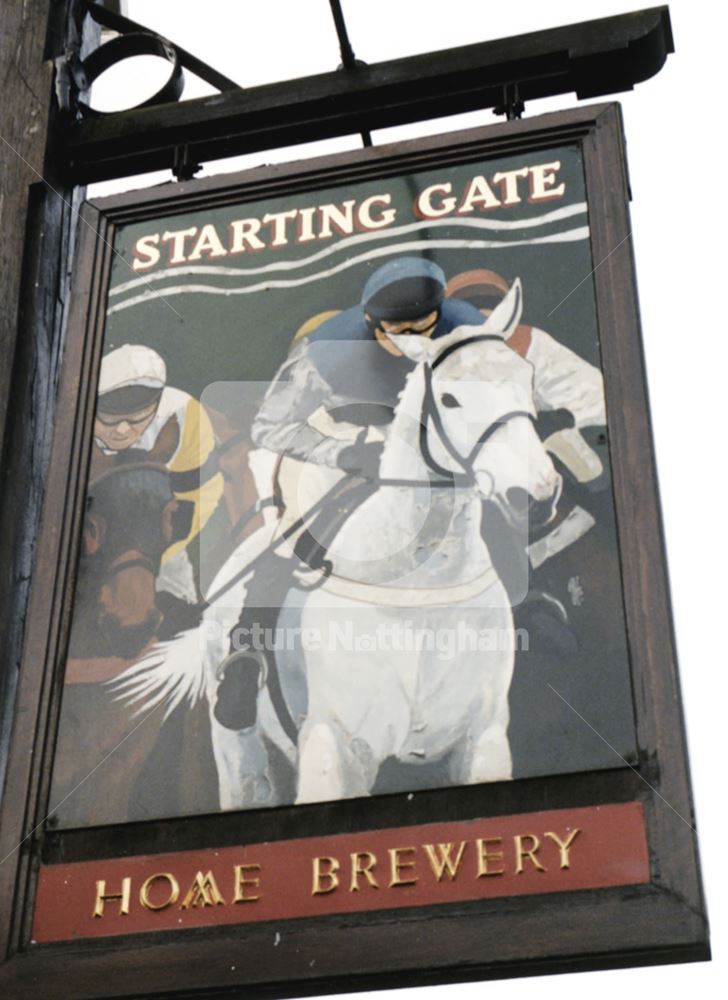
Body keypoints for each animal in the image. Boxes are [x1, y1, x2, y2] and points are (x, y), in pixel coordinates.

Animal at [109, 278, 564, 808]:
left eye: (525, 377)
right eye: (449, 399)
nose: (537, 495)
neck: (421, 591)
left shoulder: (482, 742)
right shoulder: (335, 747)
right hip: (238, 747)